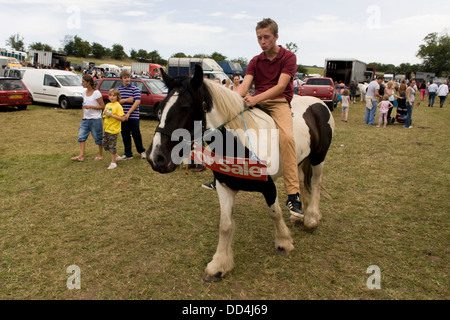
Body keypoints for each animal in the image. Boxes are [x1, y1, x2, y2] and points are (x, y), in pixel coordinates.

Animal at [148, 65, 334, 282]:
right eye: (160, 108)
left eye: (185, 107)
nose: (156, 157)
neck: (239, 143)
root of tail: (318, 103)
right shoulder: (224, 186)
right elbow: (225, 224)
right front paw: (219, 265)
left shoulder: (268, 186)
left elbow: (275, 213)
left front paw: (283, 243)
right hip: (299, 160)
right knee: (300, 181)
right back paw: (298, 214)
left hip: (318, 158)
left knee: (315, 184)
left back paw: (311, 219)